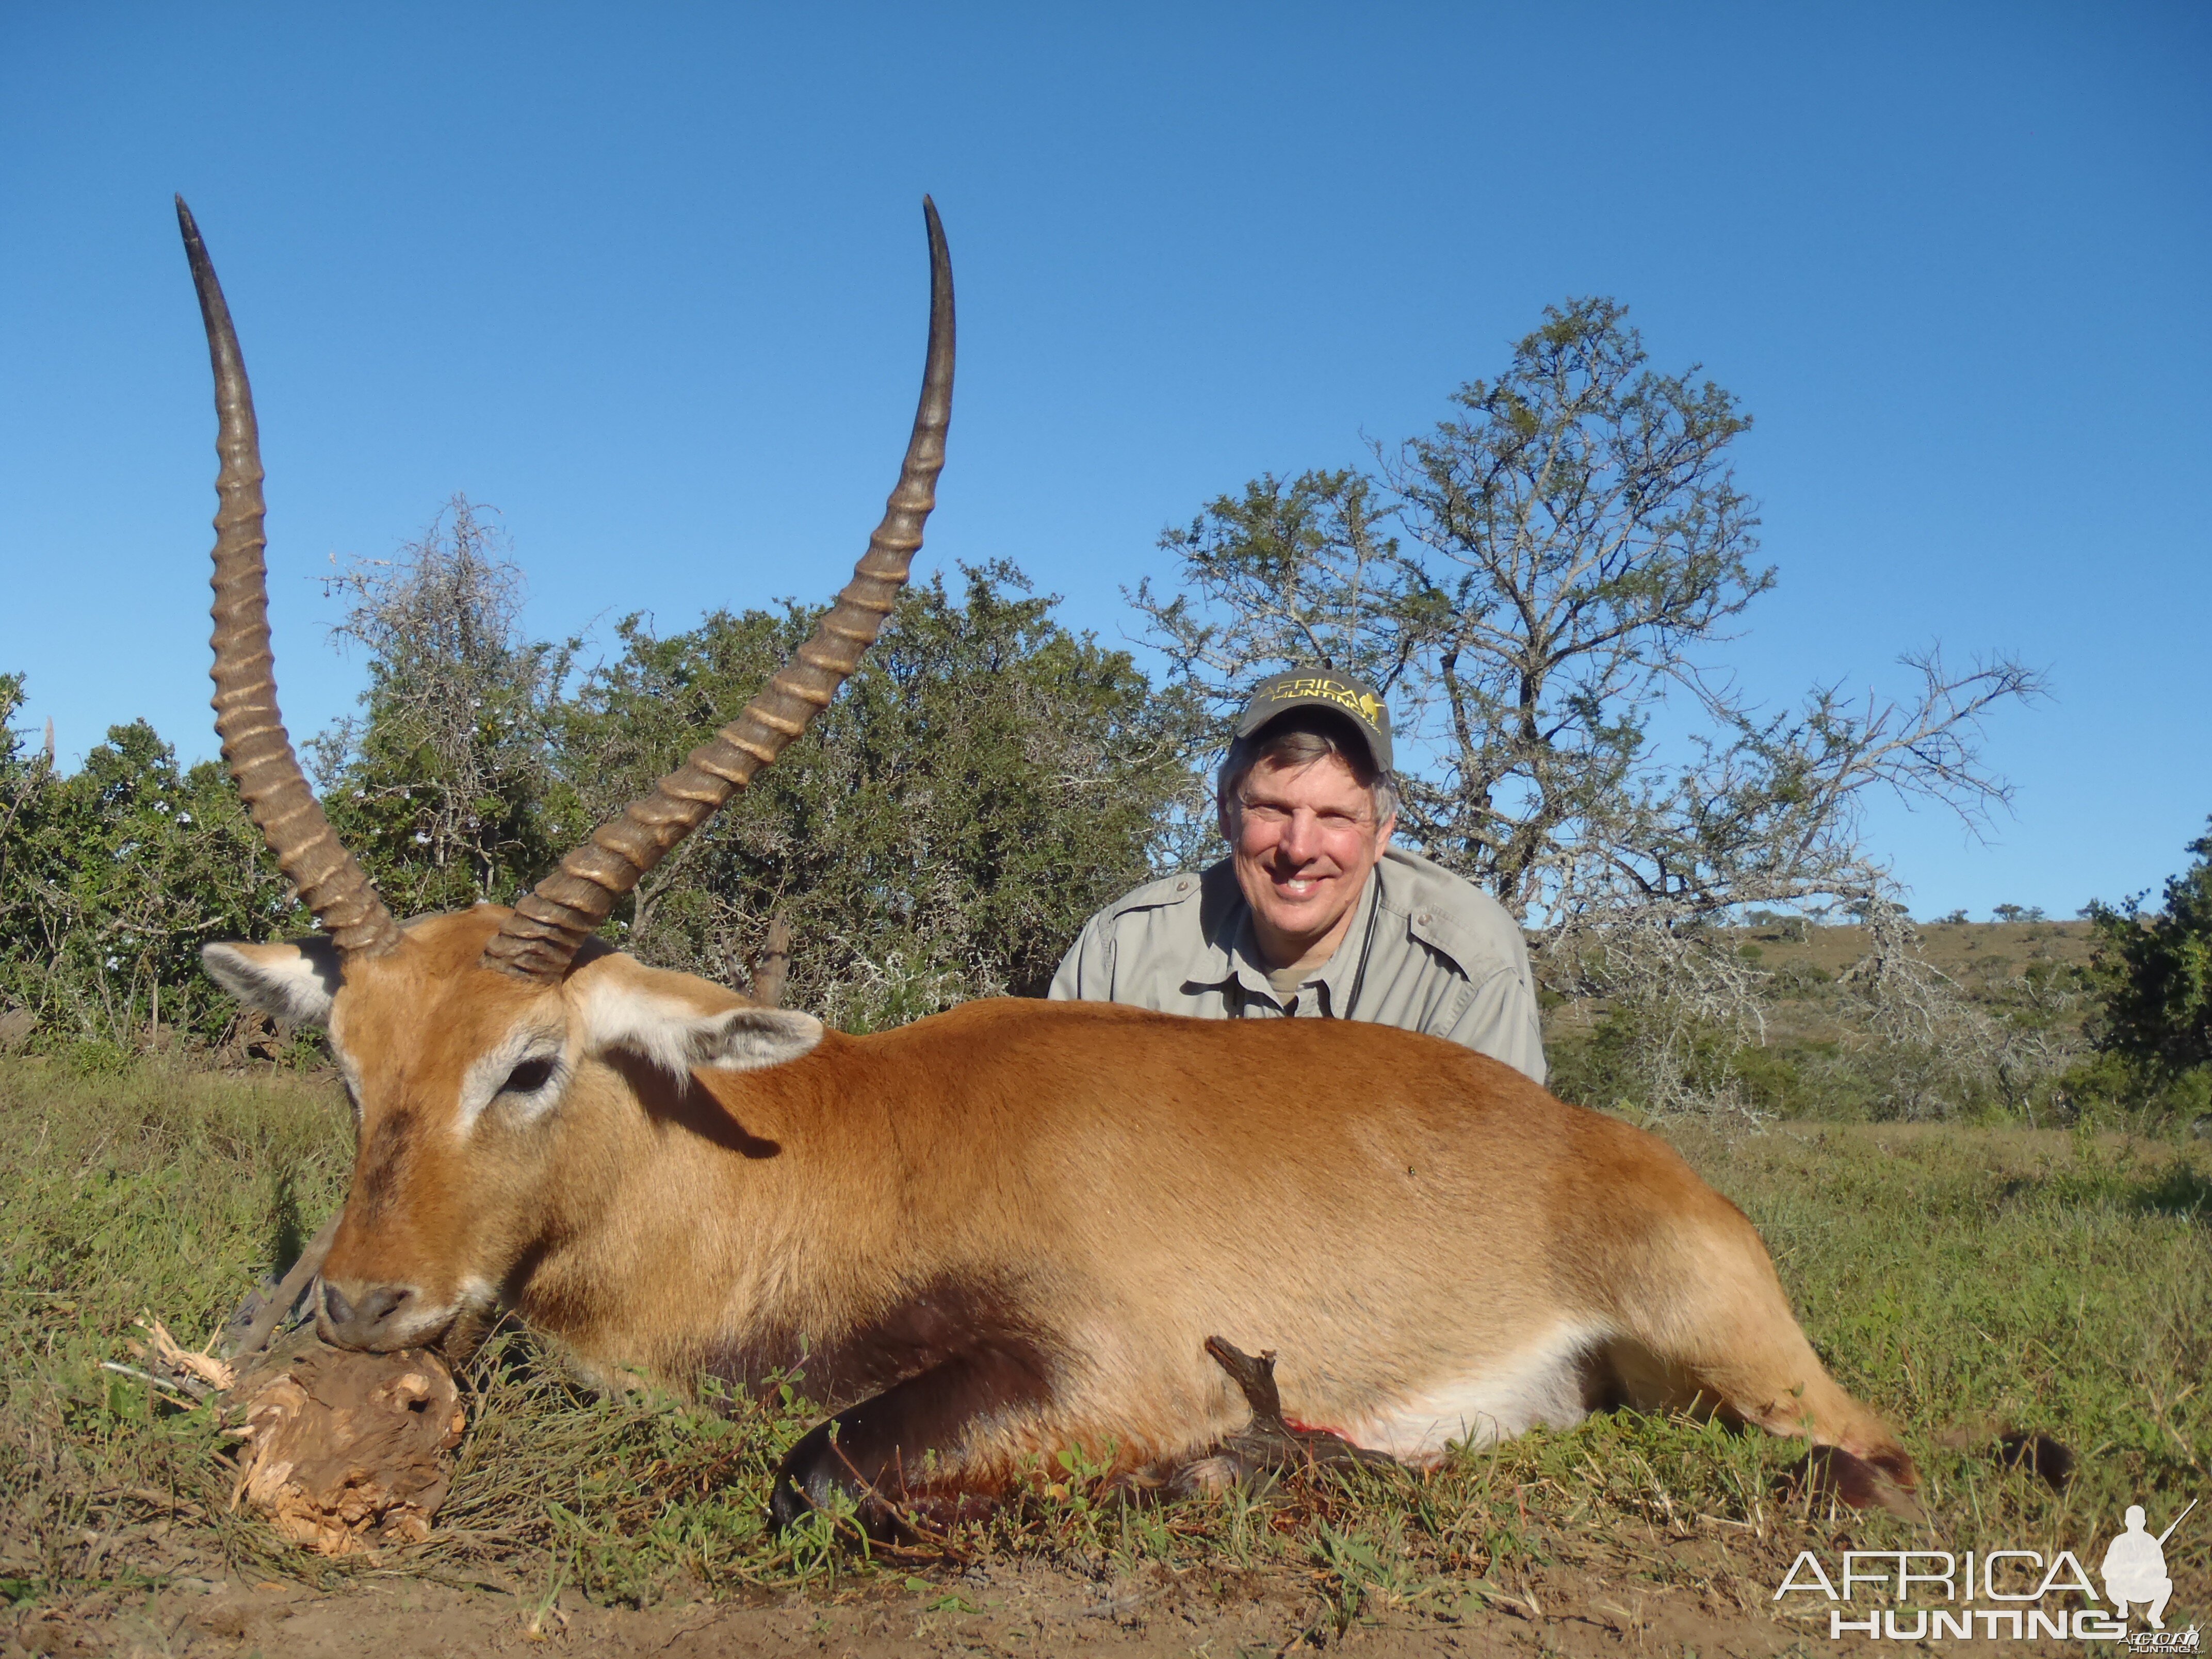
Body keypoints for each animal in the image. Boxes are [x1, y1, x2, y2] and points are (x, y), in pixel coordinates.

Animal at [177, 201, 1920, 1539]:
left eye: (528, 1063)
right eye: (348, 1065)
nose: (360, 1305)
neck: (809, 1154)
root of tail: (1619, 1156)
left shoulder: (1104, 1364)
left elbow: (815, 1475)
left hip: (1752, 1375)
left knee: (1871, 1462)